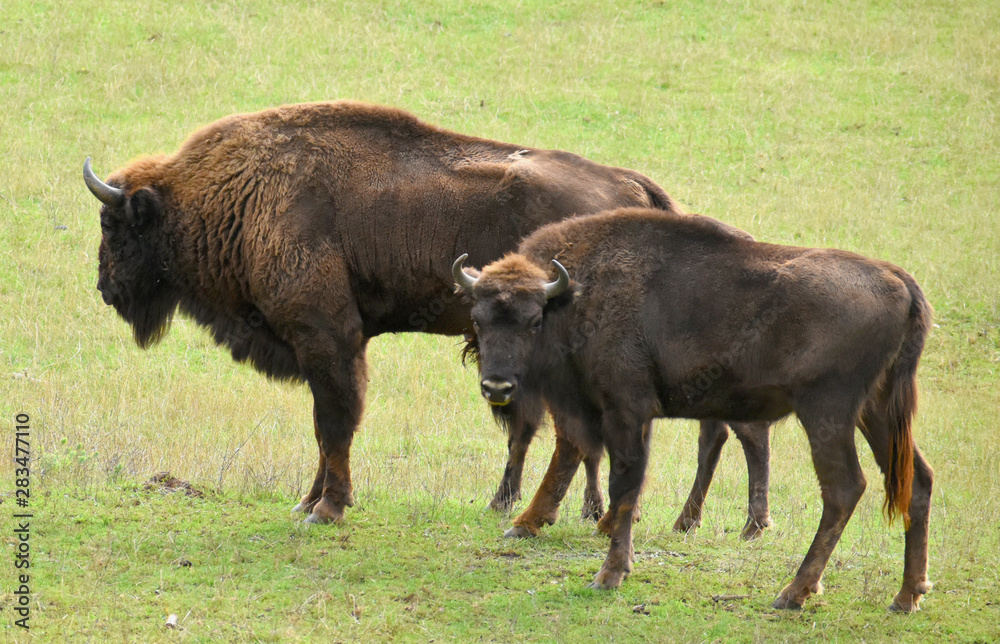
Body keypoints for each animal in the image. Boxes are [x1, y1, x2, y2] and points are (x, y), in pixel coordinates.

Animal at [82, 100, 768, 532]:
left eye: (114, 224)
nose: (105, 288)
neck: (241, 192)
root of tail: (631, 188)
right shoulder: (329, 347)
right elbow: (326, 430)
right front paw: (309, 502)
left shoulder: (327, 339)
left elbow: (335, 422)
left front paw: (327, 509)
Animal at [458, 208, 932, 612]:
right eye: (478, 318)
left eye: (533, 321)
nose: (497, 386)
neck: (575, 293)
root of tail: (900, 282)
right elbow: (577, 459)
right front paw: (528, 524)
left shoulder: (625, 409)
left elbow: (622, 484)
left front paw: (609, 574)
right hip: (876, 412)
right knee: (918, 481)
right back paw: (906, 595)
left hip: (827, 412)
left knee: (844, 488)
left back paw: (793, 593)